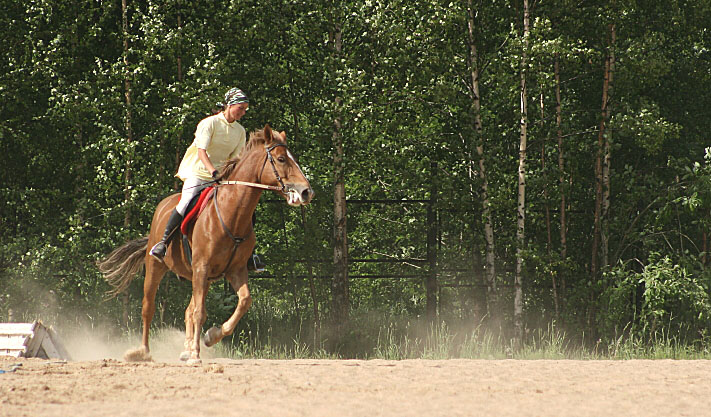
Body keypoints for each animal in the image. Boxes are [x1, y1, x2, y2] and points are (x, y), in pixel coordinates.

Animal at [98, 125, 314, 362]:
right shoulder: (202, 267)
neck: (231, 214)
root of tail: (162, 206)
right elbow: (200, 312)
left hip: (203, 277)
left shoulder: (234, 270)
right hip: (157, 267)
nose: (306, 192)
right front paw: (196, 353)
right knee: (149, 308)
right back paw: (143, 352)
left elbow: (243, 301)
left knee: (188, 310)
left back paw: (185, 349)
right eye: (282, 159)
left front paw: (212, 336)